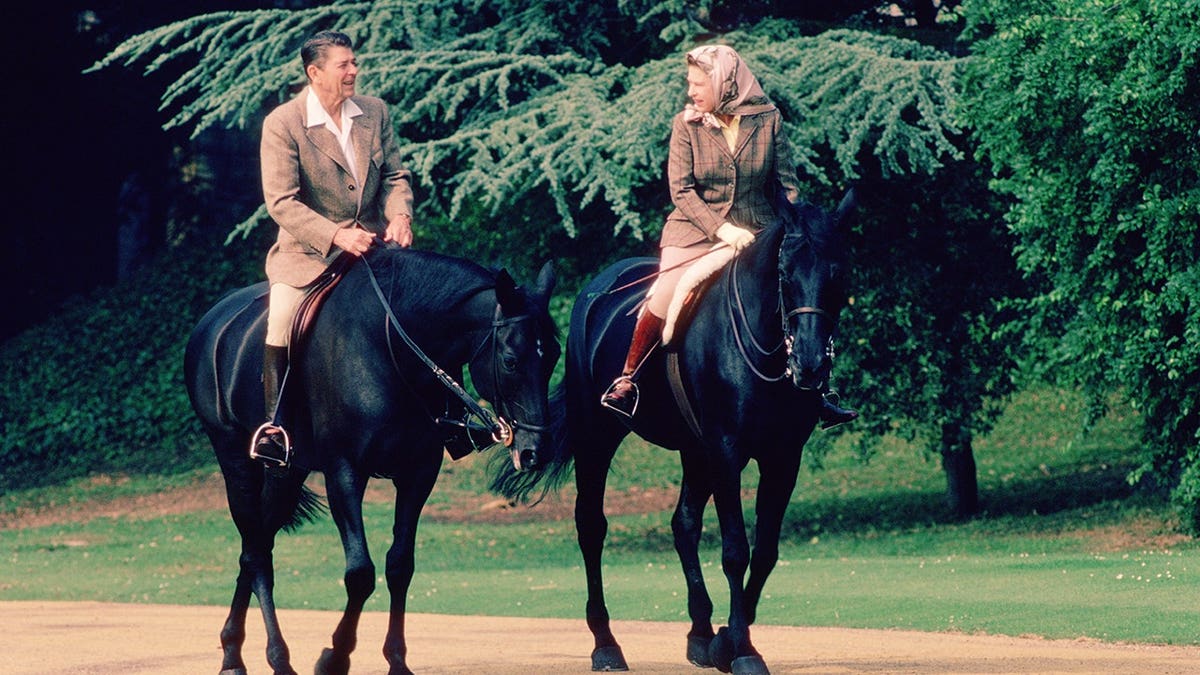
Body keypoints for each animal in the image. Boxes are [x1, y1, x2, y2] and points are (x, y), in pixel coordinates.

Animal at [183, 244, 561, 675]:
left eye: (554, 356)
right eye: (511, 360)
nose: (536, 451)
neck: (391, 346)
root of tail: (214, 319)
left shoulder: (418, 474)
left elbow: (400, 565)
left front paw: (396, 659)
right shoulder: (344, 473)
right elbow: (360, 574)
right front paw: (334, 657)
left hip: (285, 474)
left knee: (255, 546)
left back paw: (233, 651)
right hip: (236, 461)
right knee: (257, 552)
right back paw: (275, 657)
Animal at [501, 190, 855, 674]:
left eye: (838, 274)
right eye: (784, 274)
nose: (810, 365)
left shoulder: (783, 457)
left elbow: (765, 550)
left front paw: (726, 640)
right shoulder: (727, 452)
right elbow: (735, 550)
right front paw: (743, 649)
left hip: (694, 450)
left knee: (683, 524)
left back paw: (700, 633)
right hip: (599, 439)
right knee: (591, 526)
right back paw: (606, 644)